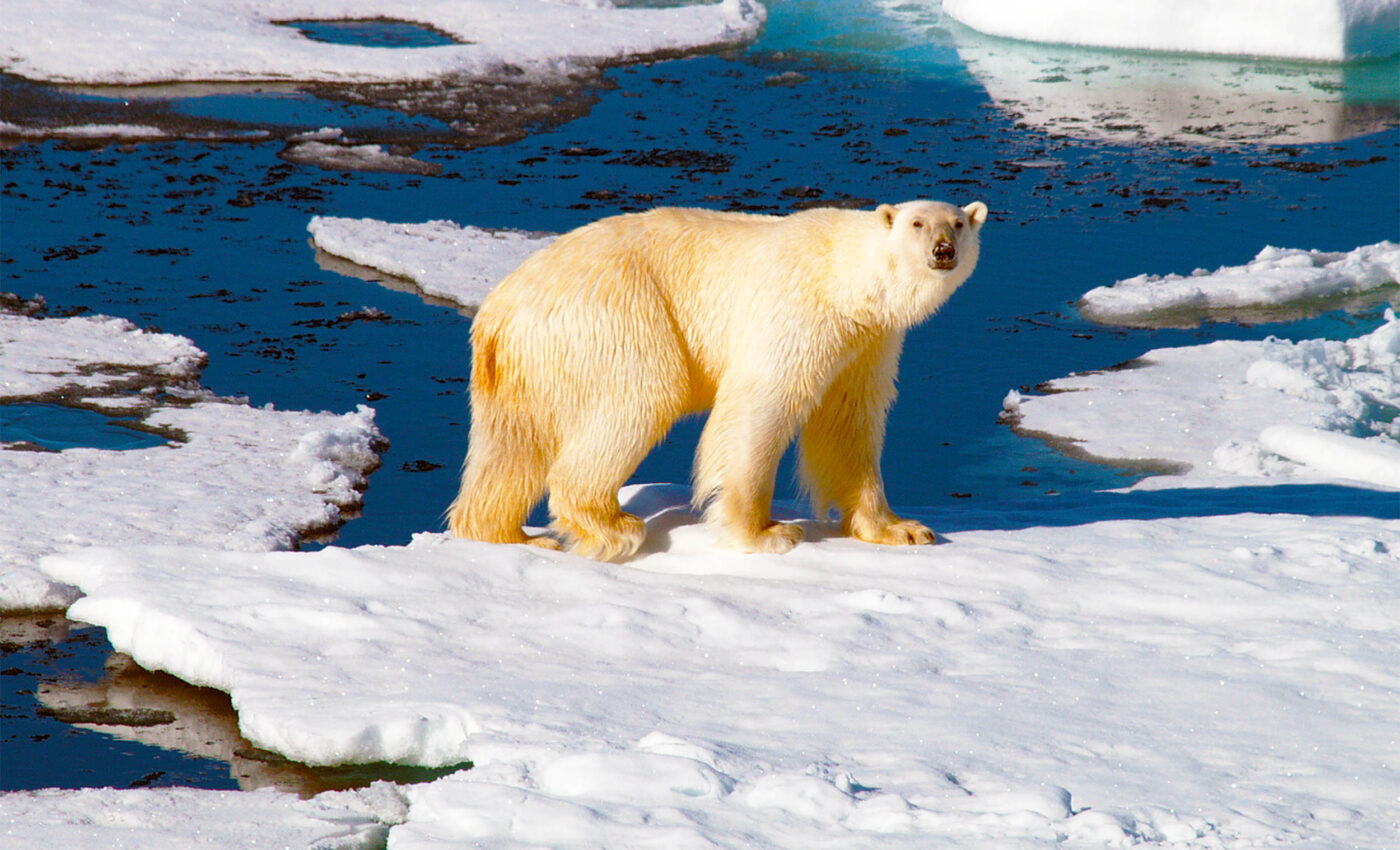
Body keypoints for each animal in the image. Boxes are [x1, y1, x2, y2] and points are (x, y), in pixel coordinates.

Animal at [447, 199, 988, 560]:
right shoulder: (797, 311)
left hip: (523, 365)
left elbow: (848, 419)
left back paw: (506, 533)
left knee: (512, 445)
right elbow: (761, 403)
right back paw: (611, 525)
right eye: (918, 223)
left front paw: (903, 529)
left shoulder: (869, 340)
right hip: (617, 315)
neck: (842, 274)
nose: (943, 250)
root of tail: (497, 310)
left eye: (959, 224)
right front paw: (767, 533)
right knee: (643, 394)